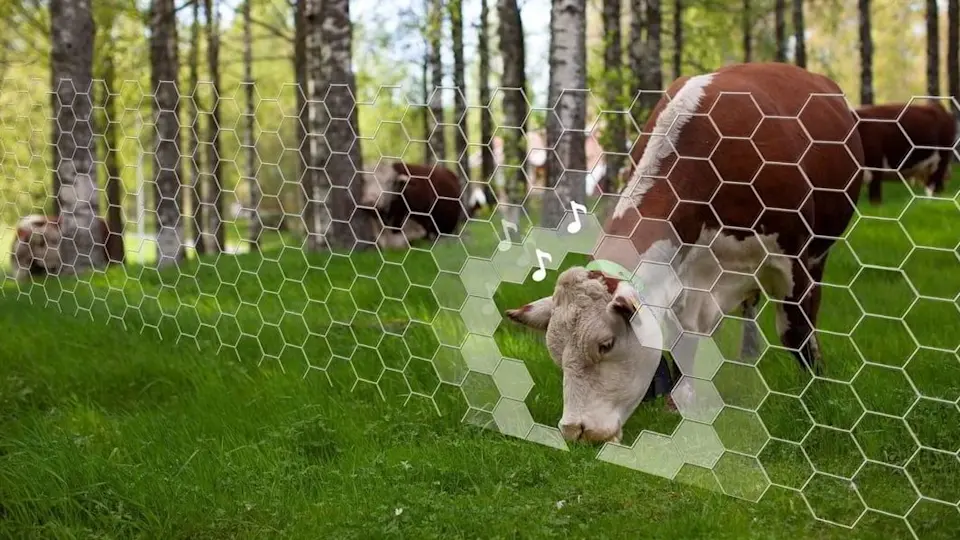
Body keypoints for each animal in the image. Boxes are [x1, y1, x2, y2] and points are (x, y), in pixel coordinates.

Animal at [504, 62, 865, 444]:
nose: (576, 430)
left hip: (819, 252)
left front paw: (817, 394)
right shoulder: (681, 280)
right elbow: (684, 344)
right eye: (556, 354)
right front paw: (682, 402)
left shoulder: (793, 262)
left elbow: (797, 335)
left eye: (606, 344)